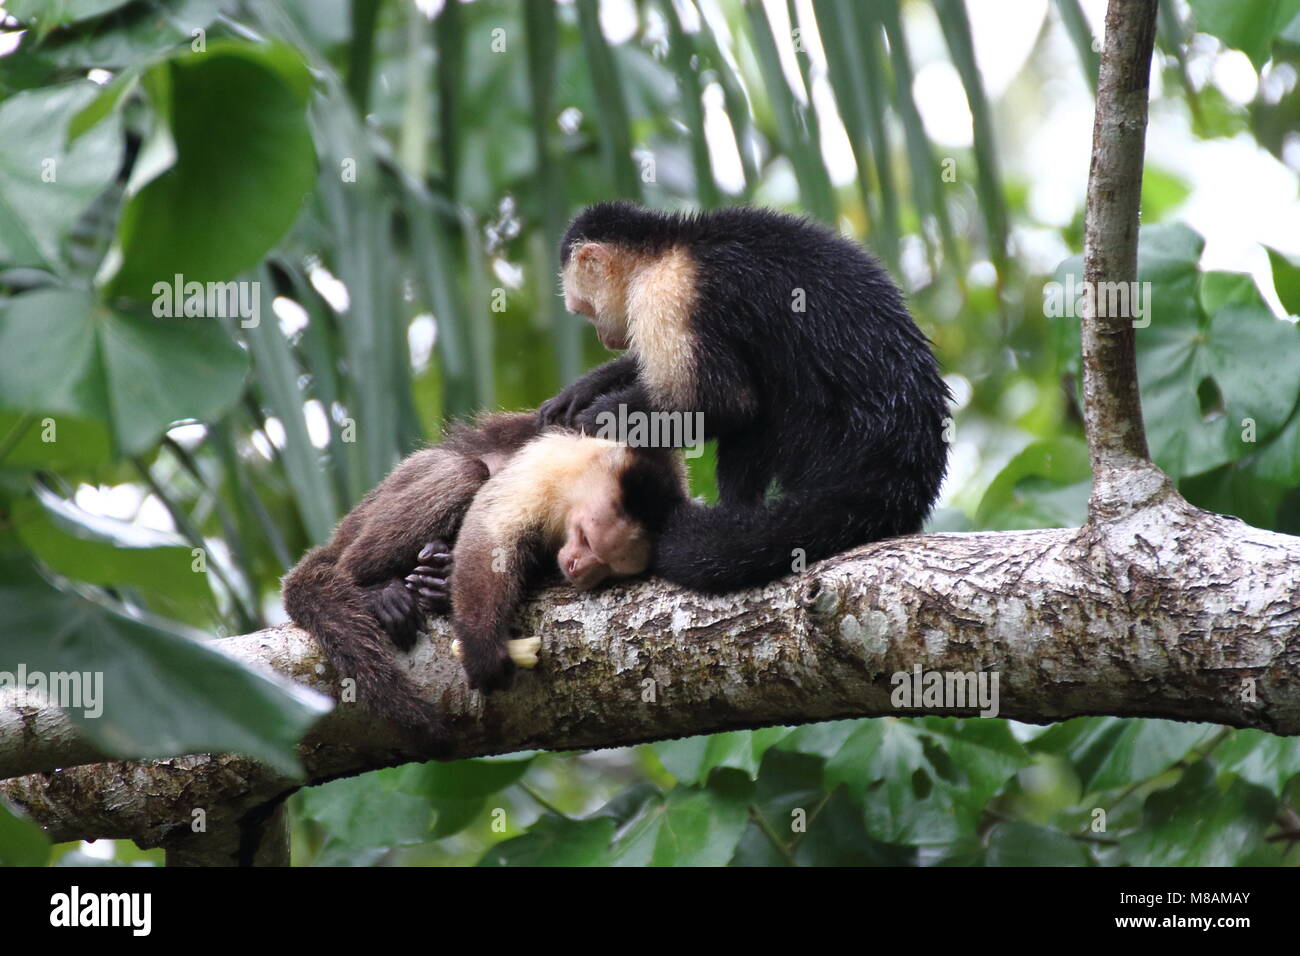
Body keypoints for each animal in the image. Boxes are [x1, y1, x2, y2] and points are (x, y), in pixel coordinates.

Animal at [282, 416, 691, 759]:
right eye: (588, 540)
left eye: (609, 569)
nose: (580, 568)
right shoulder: (545, 465)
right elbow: (487, 537)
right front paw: (482, 649)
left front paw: (442, 582)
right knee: (462, 471)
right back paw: (372, 590)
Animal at [540, 200, 956, 590]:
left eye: (585, 310)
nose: (604, 338)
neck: (670, 246)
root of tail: (906, 463)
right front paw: (588, 386)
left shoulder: (669, 292)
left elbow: (722, 403)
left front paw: (600, 416)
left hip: (829, 440)